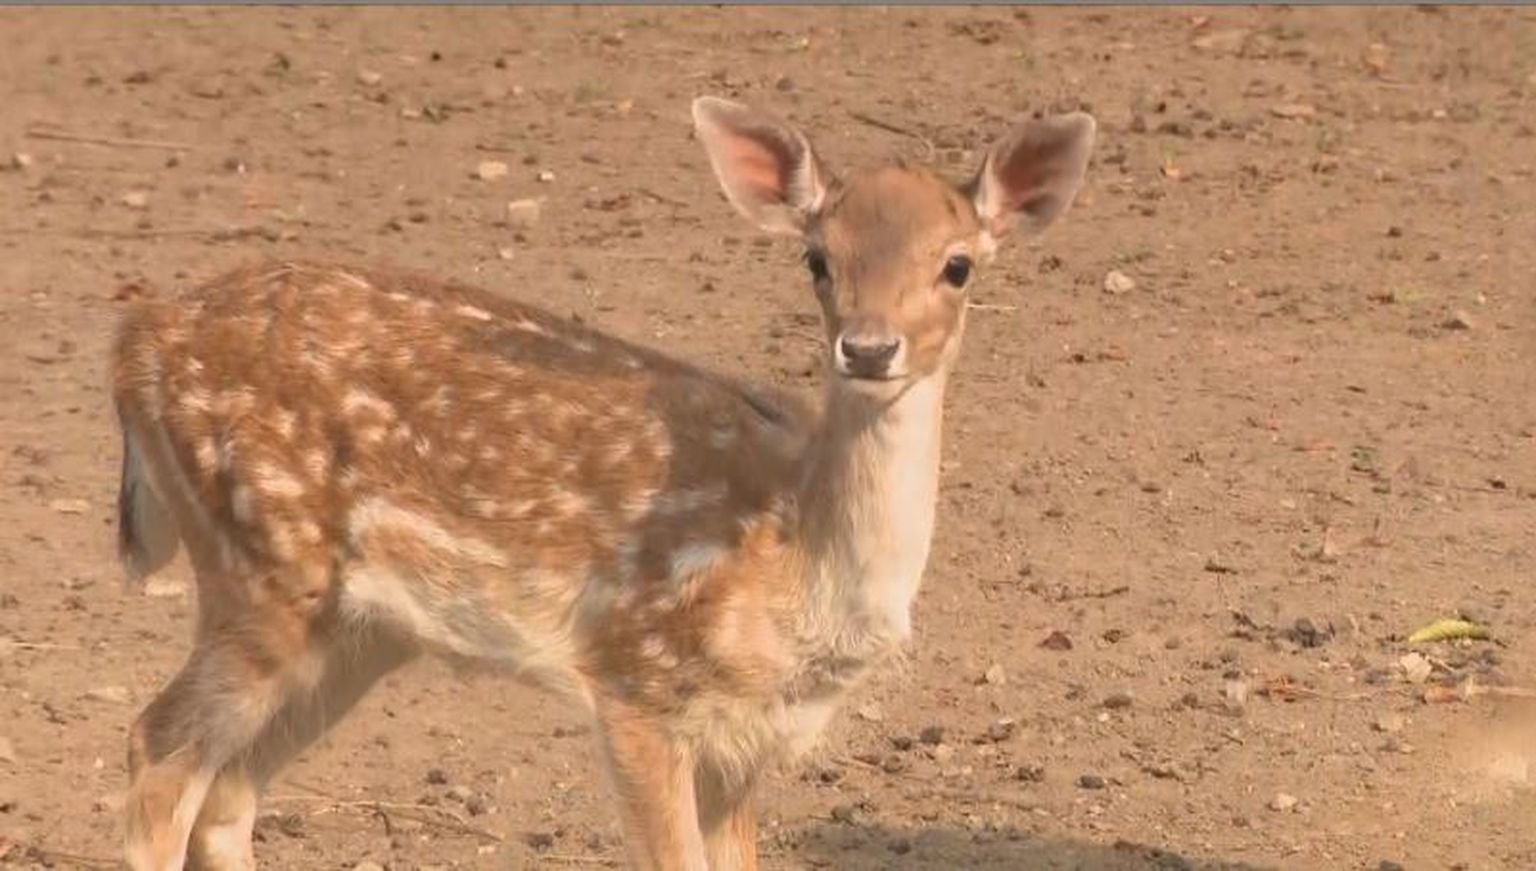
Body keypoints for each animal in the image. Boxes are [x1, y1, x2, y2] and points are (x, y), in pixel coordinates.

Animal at [109, 95, 1095, 870]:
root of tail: (139, 343)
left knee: (228, 791)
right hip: (257, 565)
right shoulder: (634, 680)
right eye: (817, 257)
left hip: (359, 628)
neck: (797, 565)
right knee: (158, 753)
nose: (869, 346)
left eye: (958, 264)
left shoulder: (751, 738)